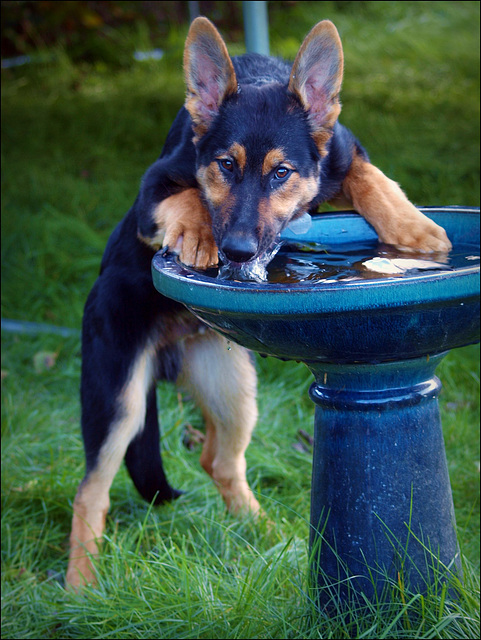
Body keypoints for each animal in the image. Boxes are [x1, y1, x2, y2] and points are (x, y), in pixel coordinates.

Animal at [66, 17, 450, 588]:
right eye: (226, 165)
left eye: (281, 173)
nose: (239, 251)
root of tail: (170, 350)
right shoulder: (150, 190)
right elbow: (185, 195)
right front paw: (196, 233)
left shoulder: (342, 152)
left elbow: (367, 175)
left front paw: (413, 228)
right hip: (119, 399)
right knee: (90, 493)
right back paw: (81, 586)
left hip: (234, 391)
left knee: (219, 462)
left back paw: (268, 534)